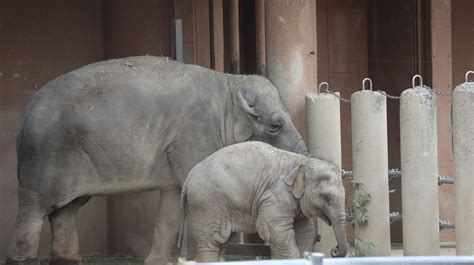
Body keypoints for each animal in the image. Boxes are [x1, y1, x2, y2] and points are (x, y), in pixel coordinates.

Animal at [6, 56, 308, 264]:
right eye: (275, 126)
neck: (230, 84)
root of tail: (24, 115)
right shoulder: (195, 135)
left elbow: (173, 198)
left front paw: (158, 262)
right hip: (45, 156)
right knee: (35, 208)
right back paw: (23, 260)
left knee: (67, 209)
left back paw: (69, 260)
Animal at [180, 141, 346, 260]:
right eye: (325, 197)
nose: (335, 250)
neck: (301, 161)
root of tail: (187, 179)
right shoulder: (275, 196)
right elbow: (275, 231)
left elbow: (305, 232)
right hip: (206, 203)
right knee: (210, 242)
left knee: (222, 241)